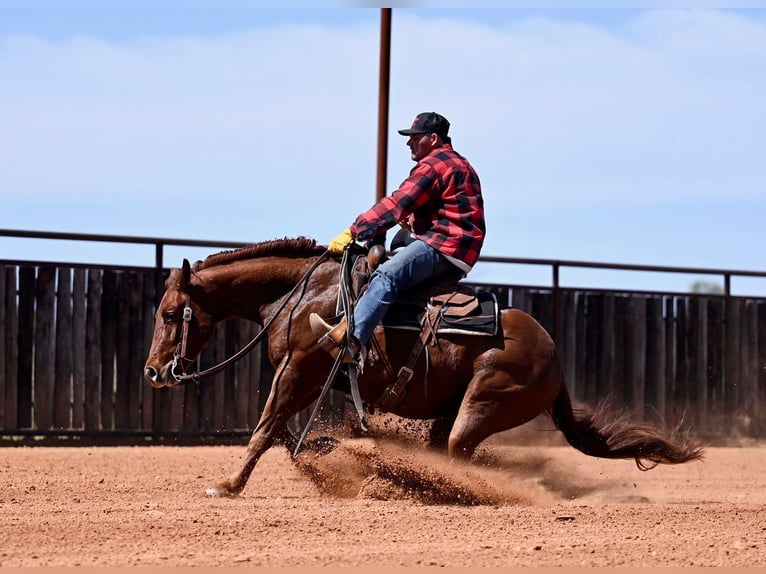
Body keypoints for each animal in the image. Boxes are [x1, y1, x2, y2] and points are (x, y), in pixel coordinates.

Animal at [143, 237, 703, 498]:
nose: (153, 372)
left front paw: (228, 485)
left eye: (171, 314)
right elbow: (281, 434)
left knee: (458, 456)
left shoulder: (299, 371)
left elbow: (264, 431)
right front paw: (327, 450)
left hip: (483, 405)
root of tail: (556, 362)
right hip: (452, 409)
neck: (304, 295)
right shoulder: (302, 380)